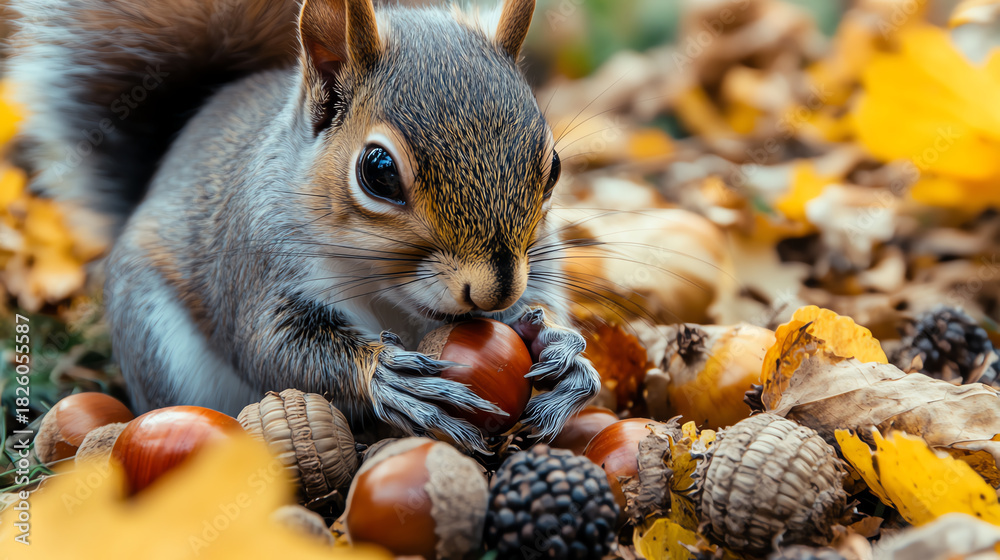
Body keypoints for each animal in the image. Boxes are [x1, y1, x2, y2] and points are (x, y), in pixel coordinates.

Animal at [7, 0, 601, 450]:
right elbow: (270, 346)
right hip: (157, 340)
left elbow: (544, 299)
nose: (495, 290)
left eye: (554, 166)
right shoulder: (257, 260)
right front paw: (384, 375)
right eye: (378, 171)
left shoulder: (537, 262)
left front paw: (560, 349)